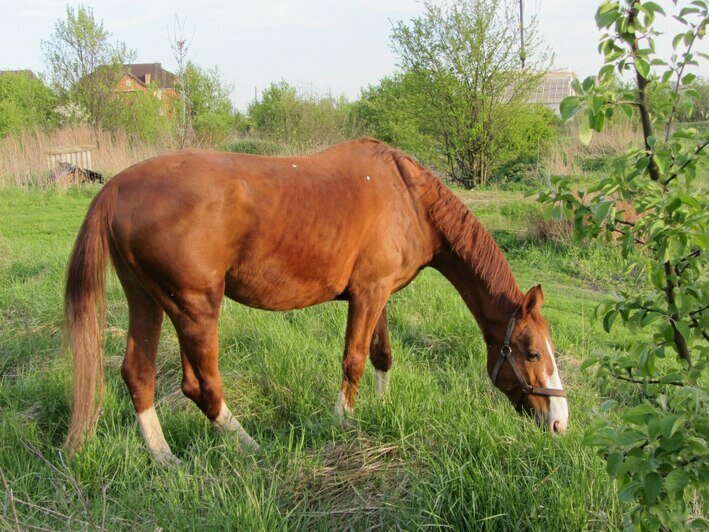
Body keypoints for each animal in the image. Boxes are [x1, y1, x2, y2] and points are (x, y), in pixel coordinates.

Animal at [63, 139, 568, 464]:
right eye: (531, 353)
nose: (560, 423)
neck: (408, 195)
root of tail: (117, 187)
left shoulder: (379, 294)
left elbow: (382, 355)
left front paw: (380, 409)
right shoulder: (366, 295)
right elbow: (354, 360)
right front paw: (342, 424)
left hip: (147, 301)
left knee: (139, 374)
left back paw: (165, 458)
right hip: (195, 308)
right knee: (202, 387)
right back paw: (250, 446)